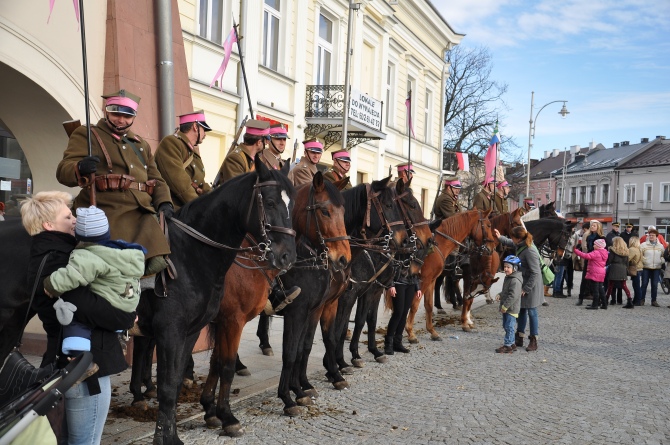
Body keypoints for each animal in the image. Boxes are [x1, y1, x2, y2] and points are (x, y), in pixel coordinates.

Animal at [135, 157, 298, 444]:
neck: (191, 254)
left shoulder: (203, 326)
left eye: (293, 205)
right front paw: (225, 416)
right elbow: (223, 366)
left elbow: (203, 368)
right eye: (269, 202)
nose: (288, 256)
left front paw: (210, 411)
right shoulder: (220, 322)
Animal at [198, 172, 352, 436]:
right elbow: (290, 353)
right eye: (325, 211)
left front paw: (302, 388)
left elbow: (305, 348)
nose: (343, 258)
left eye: (344, 211)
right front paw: (289, 397)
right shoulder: (295, 313)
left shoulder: (314, 310)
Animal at [404, 209, 498, 344]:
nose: (492, 247)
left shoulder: (432, 280)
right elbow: (415, 304)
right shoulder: (425, 279)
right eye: (489, 225)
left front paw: (432, 331)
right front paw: (410, 333)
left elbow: (428, 305)